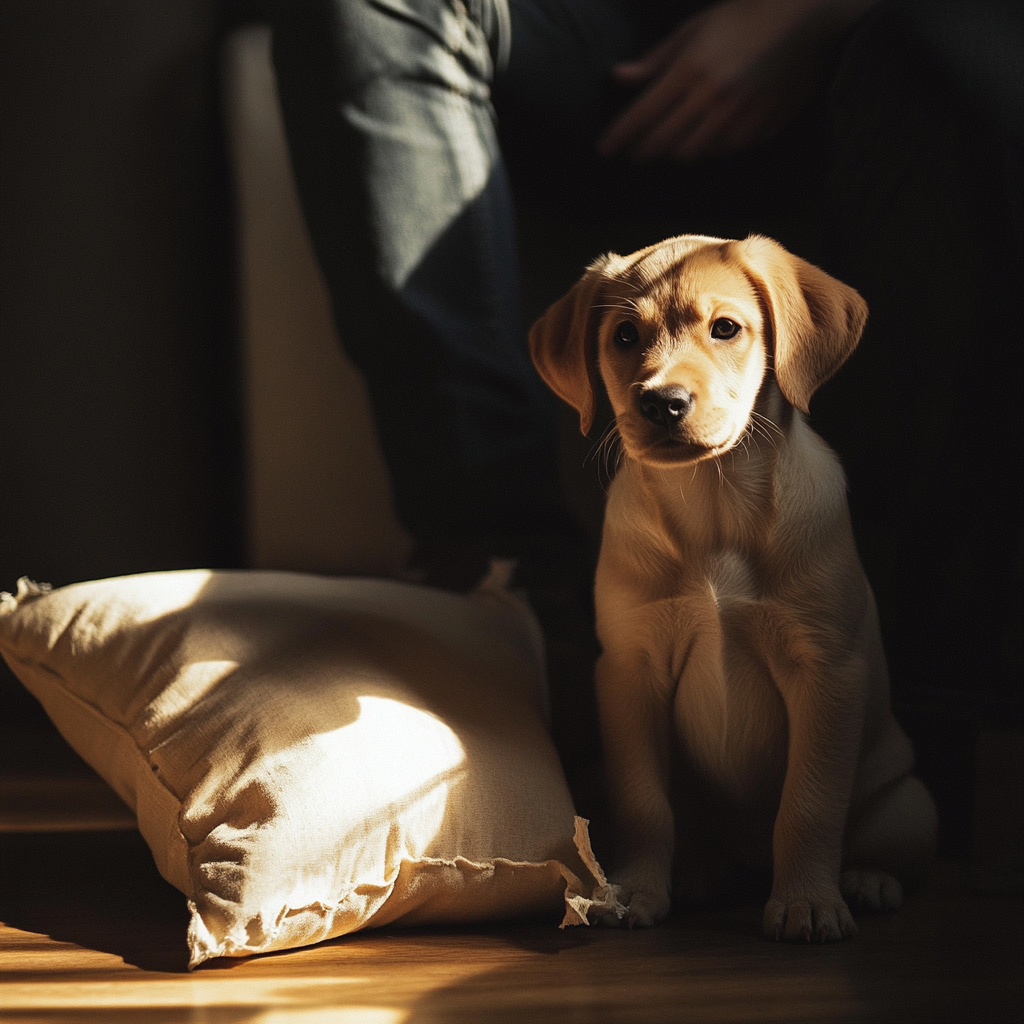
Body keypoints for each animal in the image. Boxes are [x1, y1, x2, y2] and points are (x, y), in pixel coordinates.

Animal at [532, 235, 937, 937]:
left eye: (725, 329)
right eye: (624, 336)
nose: (661, 402)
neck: (713, 509)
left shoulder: (826, 670)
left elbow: (809, 804)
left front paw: (807, 902)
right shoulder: (631, 671)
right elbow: (644, 804)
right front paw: (637, 891)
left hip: (910, 804)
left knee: (883, 847)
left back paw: (866, 881)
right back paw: (699, 876)